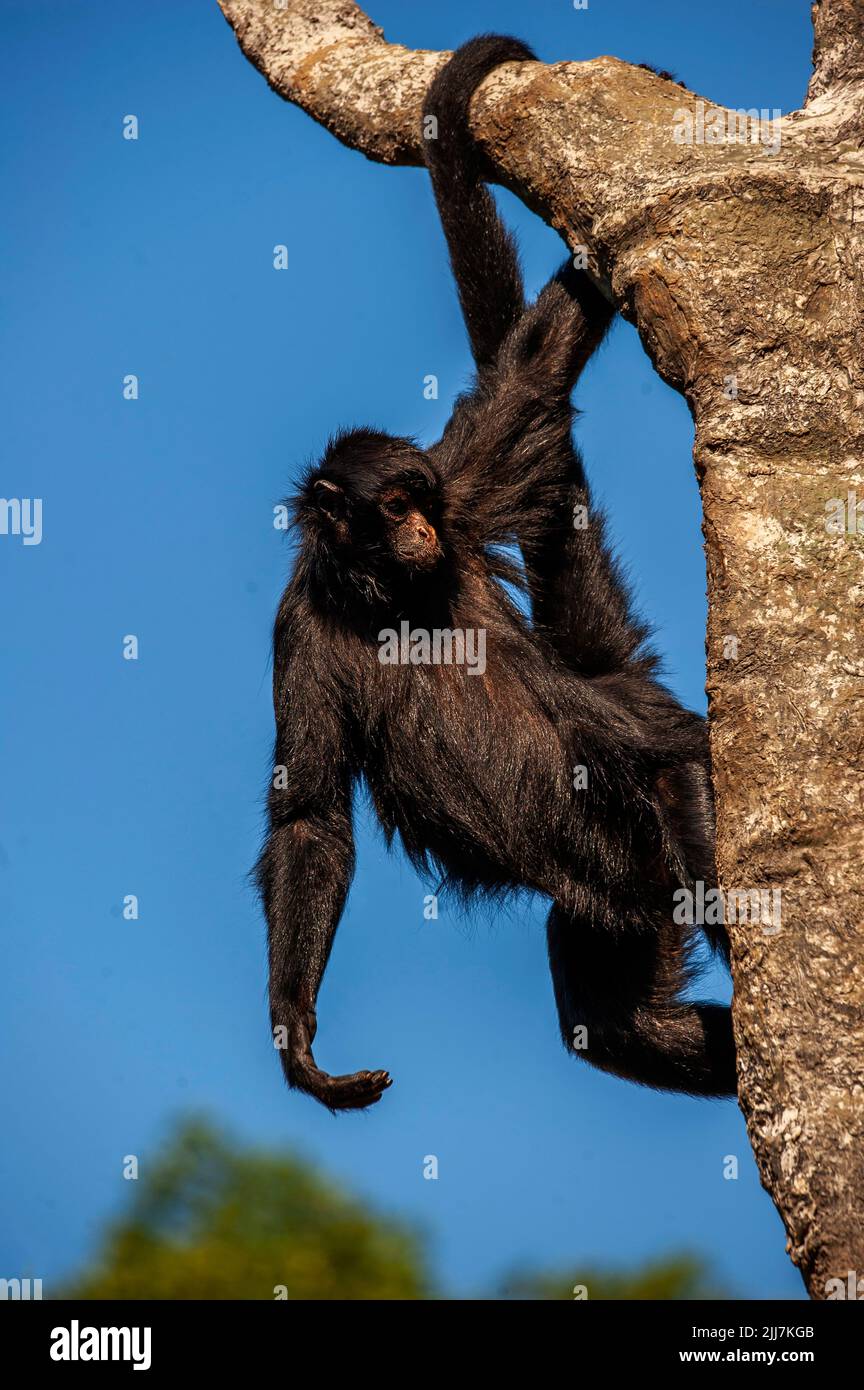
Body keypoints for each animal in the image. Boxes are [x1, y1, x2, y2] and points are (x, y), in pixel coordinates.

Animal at [257, 35, 736, 1112]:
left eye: (416, 499)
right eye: (389, 507)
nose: (420, 530)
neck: (393, 598)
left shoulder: (470, 490)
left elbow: (534, 371)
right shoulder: (299, 620)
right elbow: (310, 817)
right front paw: (296, 1034)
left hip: (658, 801)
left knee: (668, 767)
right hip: (615, 901)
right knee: (619, 1023)